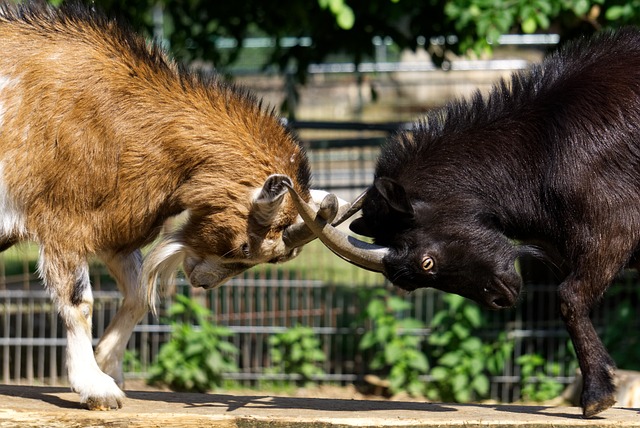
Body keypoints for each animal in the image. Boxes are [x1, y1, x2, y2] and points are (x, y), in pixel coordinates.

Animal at [0, 3, 316, 410]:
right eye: (246, 247)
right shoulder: (62, 221)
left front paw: (109, 366)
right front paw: (96, 387)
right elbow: (79, 301)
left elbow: (138, 296)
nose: (201, 282)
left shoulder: (114, 225)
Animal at [288, 28, 640, 416]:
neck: (541, 147)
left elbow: (569, 296)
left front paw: (596, 396)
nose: (500, 299)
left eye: (427, 262)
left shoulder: (614, 226)